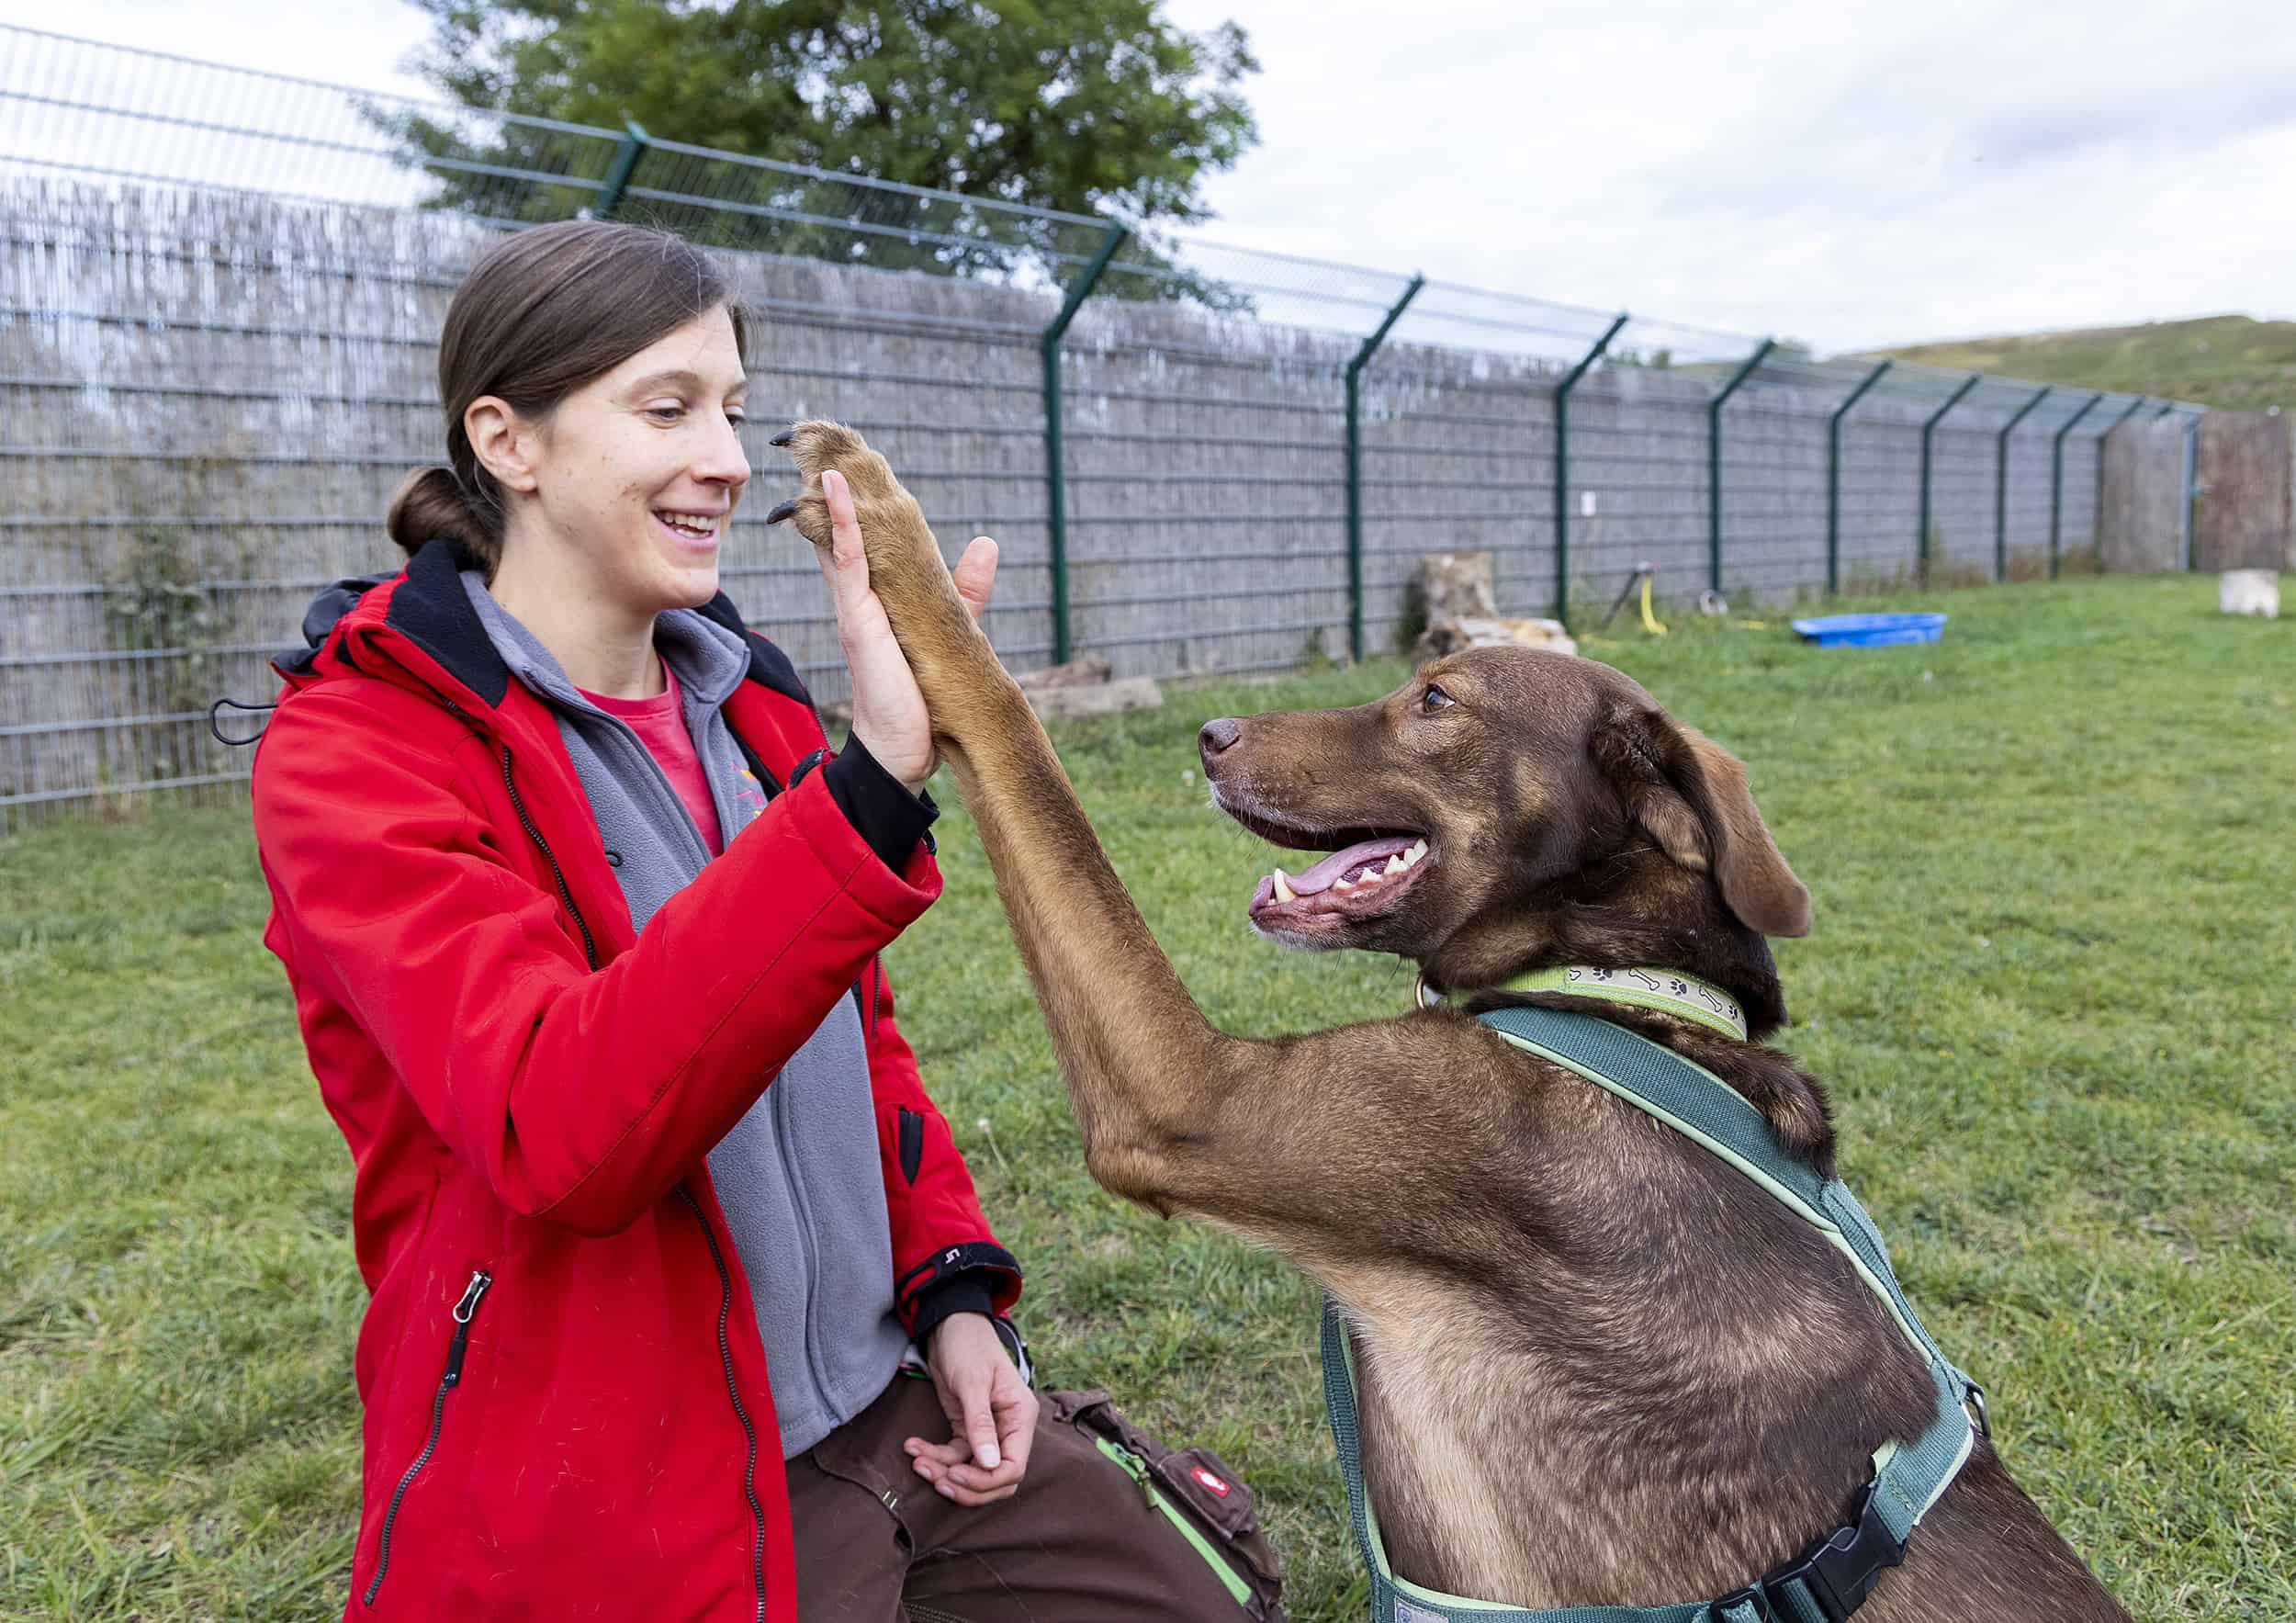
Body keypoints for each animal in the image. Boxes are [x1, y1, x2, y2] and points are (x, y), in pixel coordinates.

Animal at [771, 424, 2131, 1616]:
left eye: (1436, 697)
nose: (1210, 732)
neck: (1602, 985)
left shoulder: (1189, 1096)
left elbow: (1018, 736)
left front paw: (876, 518)